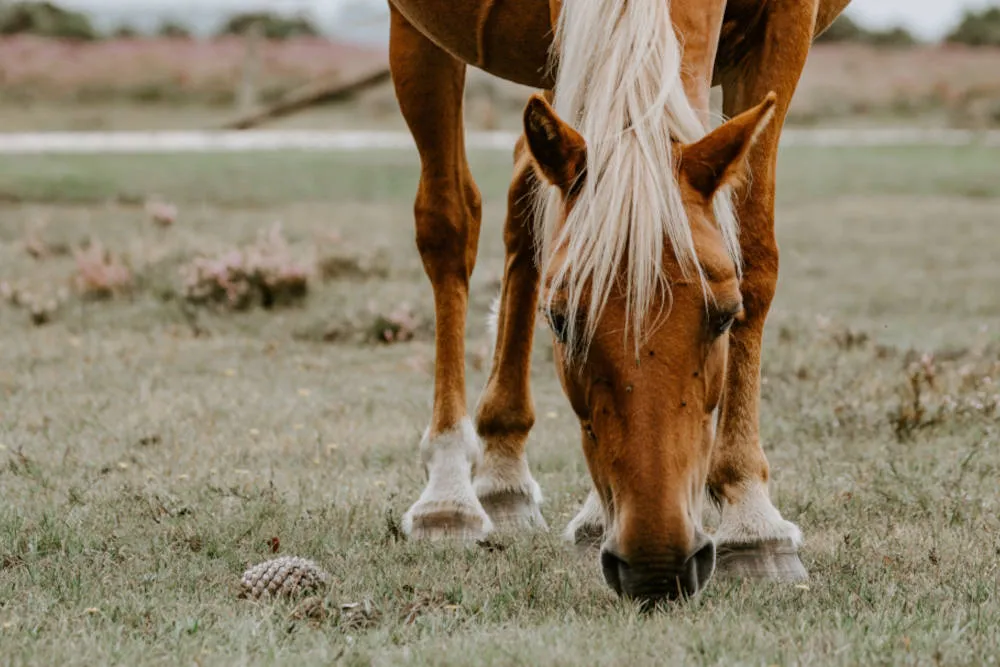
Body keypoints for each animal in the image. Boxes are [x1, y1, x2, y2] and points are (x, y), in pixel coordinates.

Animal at [387, 0, 851, 604]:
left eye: (725, 316)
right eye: (559, 321)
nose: (658, 565)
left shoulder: (785, 27)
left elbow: (753, 249)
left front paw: (753, 522)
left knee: (526, 197)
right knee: (454, 222)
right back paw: (454, 493)